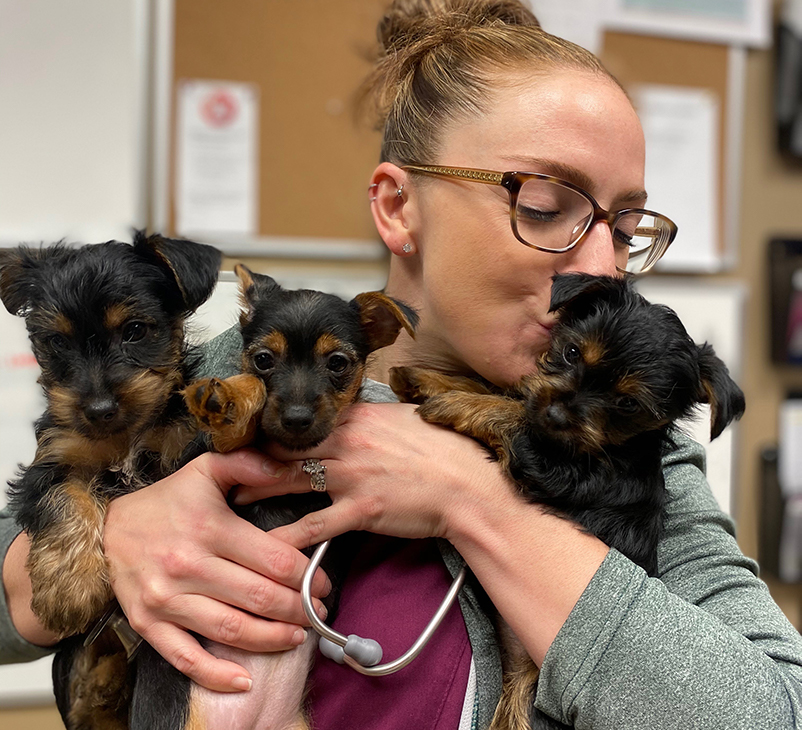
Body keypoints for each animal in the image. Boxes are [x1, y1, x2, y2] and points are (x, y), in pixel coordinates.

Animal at [0, 233, 220, 728]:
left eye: (135, 331)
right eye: (57, 342)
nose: (99, 409)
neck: (123, 435)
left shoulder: (181, 442)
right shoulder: (53, 461)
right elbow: (65, 498)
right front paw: (69, 589)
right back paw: (99, 682)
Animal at [388, 272, 744, 728]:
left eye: (627, 403)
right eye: (571, 352)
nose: (557, 416)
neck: (619, 447)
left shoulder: (554, 466)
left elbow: (510, 413)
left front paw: (455, 402)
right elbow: (510, 395)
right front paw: (426, 378)